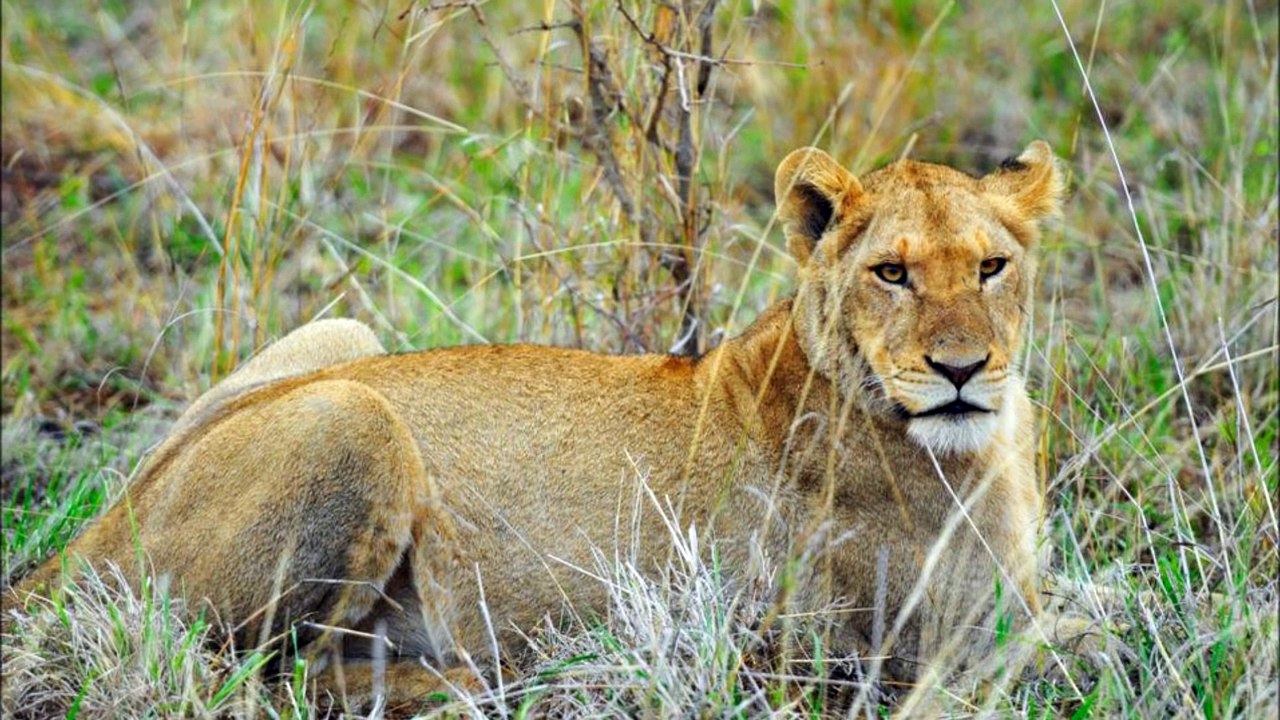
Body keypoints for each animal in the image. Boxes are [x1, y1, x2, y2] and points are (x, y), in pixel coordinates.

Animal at [10, 141, 1069, 707]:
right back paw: (473, 684)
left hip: (342, 336)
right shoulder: (886, 650)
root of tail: (74, 547)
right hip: (354, 415)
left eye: (991, 267)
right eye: (891, 272)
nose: (962, 369)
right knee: (250, 680)